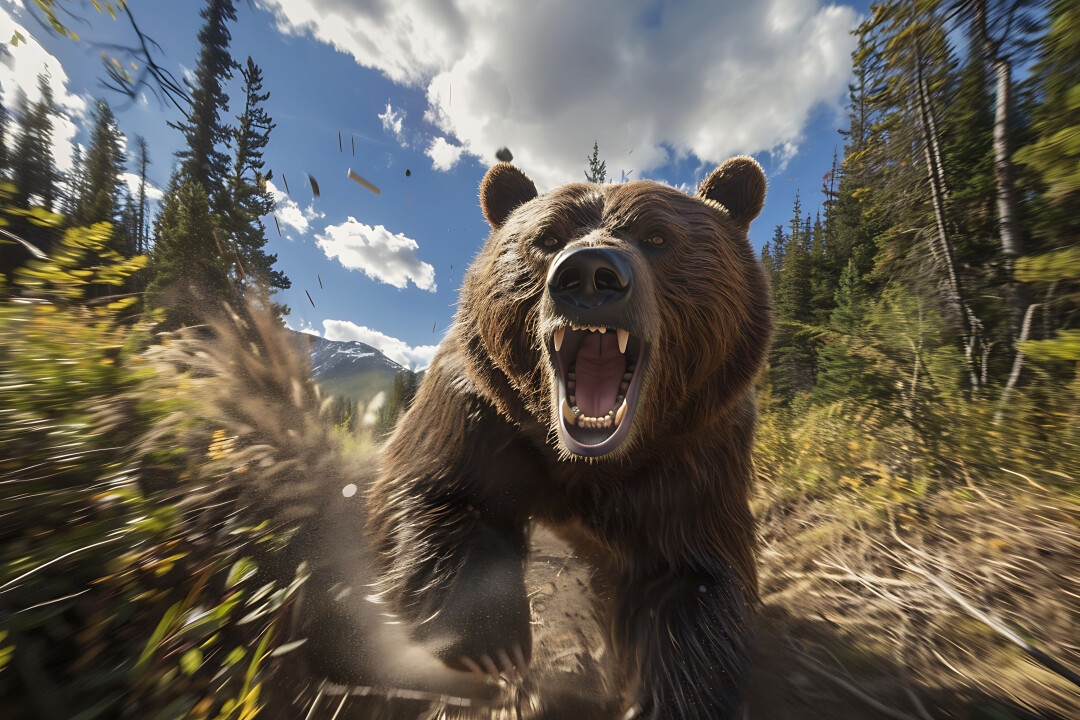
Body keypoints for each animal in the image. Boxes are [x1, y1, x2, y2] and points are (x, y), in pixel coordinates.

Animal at [367, 158, 773, 720]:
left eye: (657, 236)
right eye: (547, 237)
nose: (590, 273)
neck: (583, 463)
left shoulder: (696, 450)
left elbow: (693, 578)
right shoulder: (478, 411)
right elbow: (429, 490)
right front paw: (495, 640)